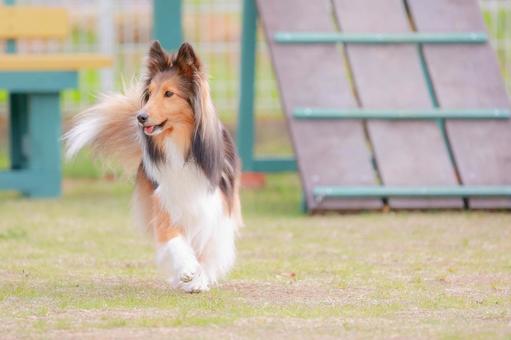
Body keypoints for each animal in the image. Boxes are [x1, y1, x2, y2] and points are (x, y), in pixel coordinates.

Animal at [65, 41, 243, 294]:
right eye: (149, 94)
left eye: (169, 93)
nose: (140, 117)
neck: (182, 147)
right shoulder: (164, 198)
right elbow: (172, 237)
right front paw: (187, 269)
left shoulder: (215, 204)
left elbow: (209, 246)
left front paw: (199, 278)